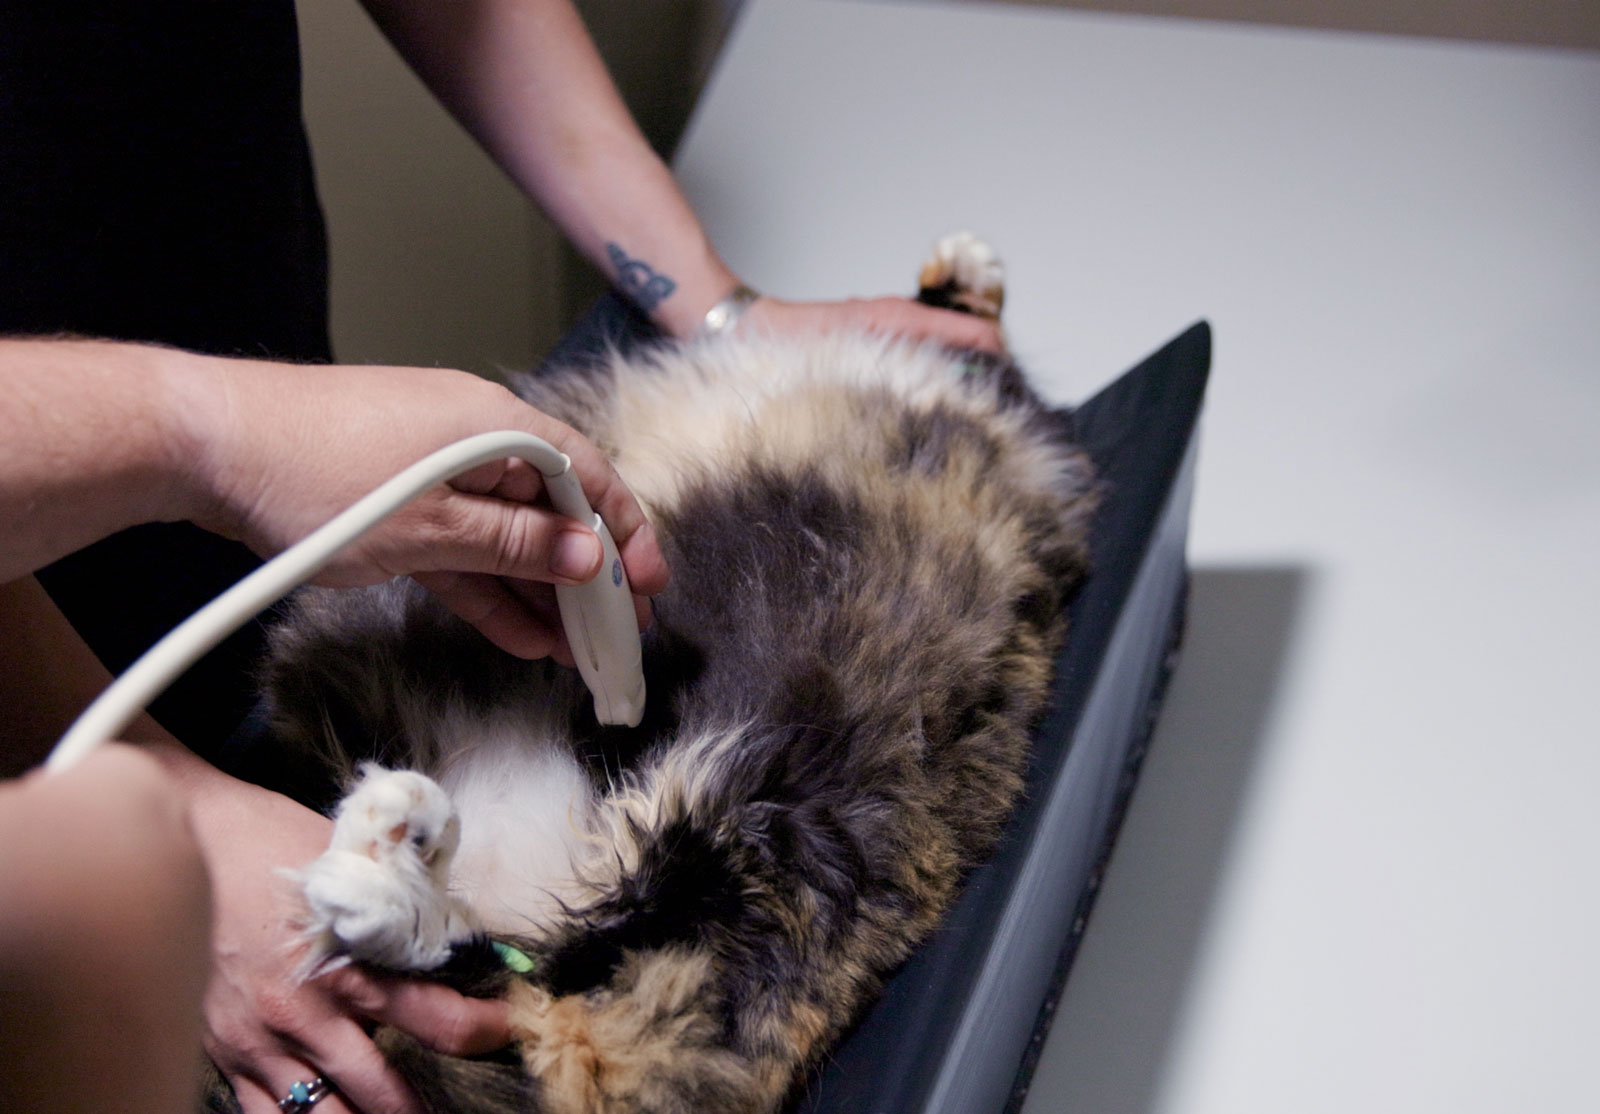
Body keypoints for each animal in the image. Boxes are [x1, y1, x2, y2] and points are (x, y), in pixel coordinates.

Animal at [240, 235, 1100, 1114]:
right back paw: (390, 843)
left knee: (523, 974)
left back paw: (383, 851)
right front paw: (963, 272)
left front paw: (967, 276)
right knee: (505, 964)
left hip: (746, 819)